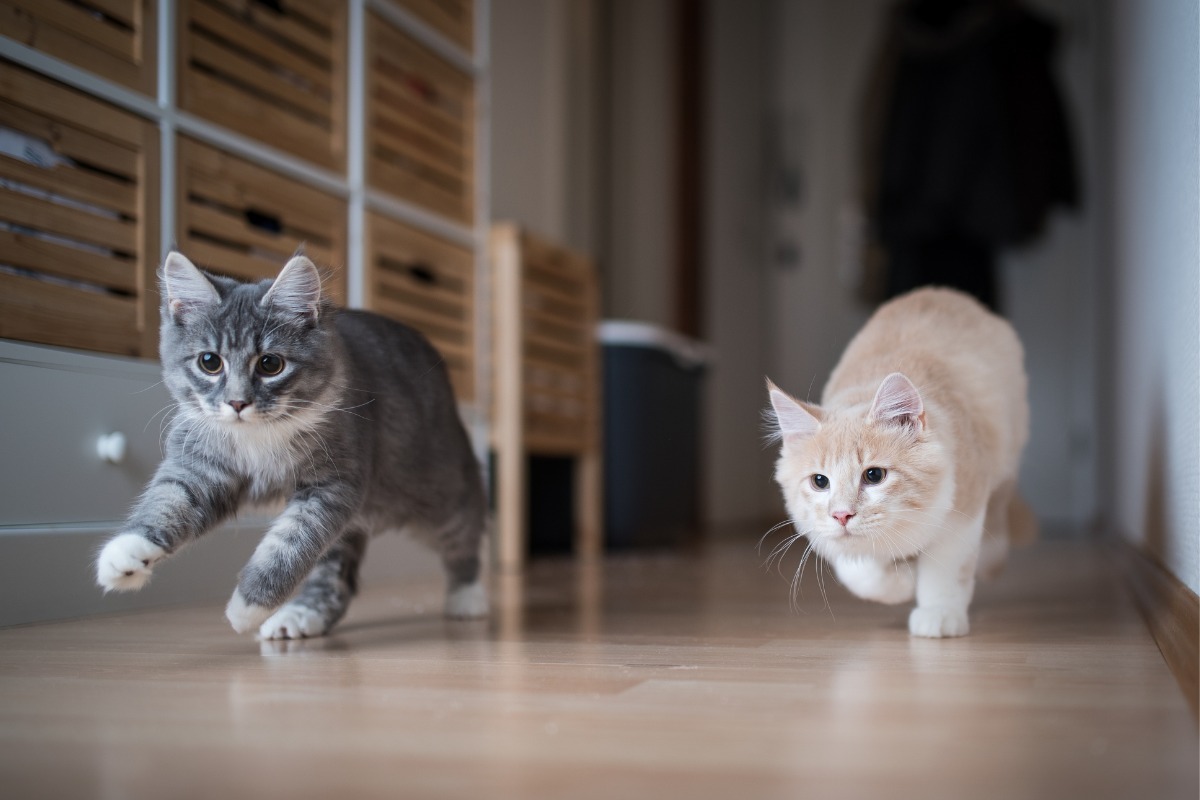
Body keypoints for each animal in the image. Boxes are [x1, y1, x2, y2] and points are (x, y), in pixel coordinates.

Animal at [93, 250, 487, 638]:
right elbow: (168, 501)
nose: (237, 403)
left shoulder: (332, 486)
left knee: (467, 530)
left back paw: (468, 596)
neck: (258, 436)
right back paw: (301, 616)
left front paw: (248, 606)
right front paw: (126, 552)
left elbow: (289, 545)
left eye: (270, 364)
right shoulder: (200, 466)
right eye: (209, 362)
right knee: (334, 577)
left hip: (437, 493)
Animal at [768, 287, 1032, 638]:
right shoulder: (826, 536)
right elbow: (862, 573)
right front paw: (902, 581)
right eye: (820, 481)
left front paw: (939, 613)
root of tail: (942, 291)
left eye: (874, 475)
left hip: (1007, 451)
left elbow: (945, 569)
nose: (841, 515)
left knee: (1000, 511)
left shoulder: (963, 506)